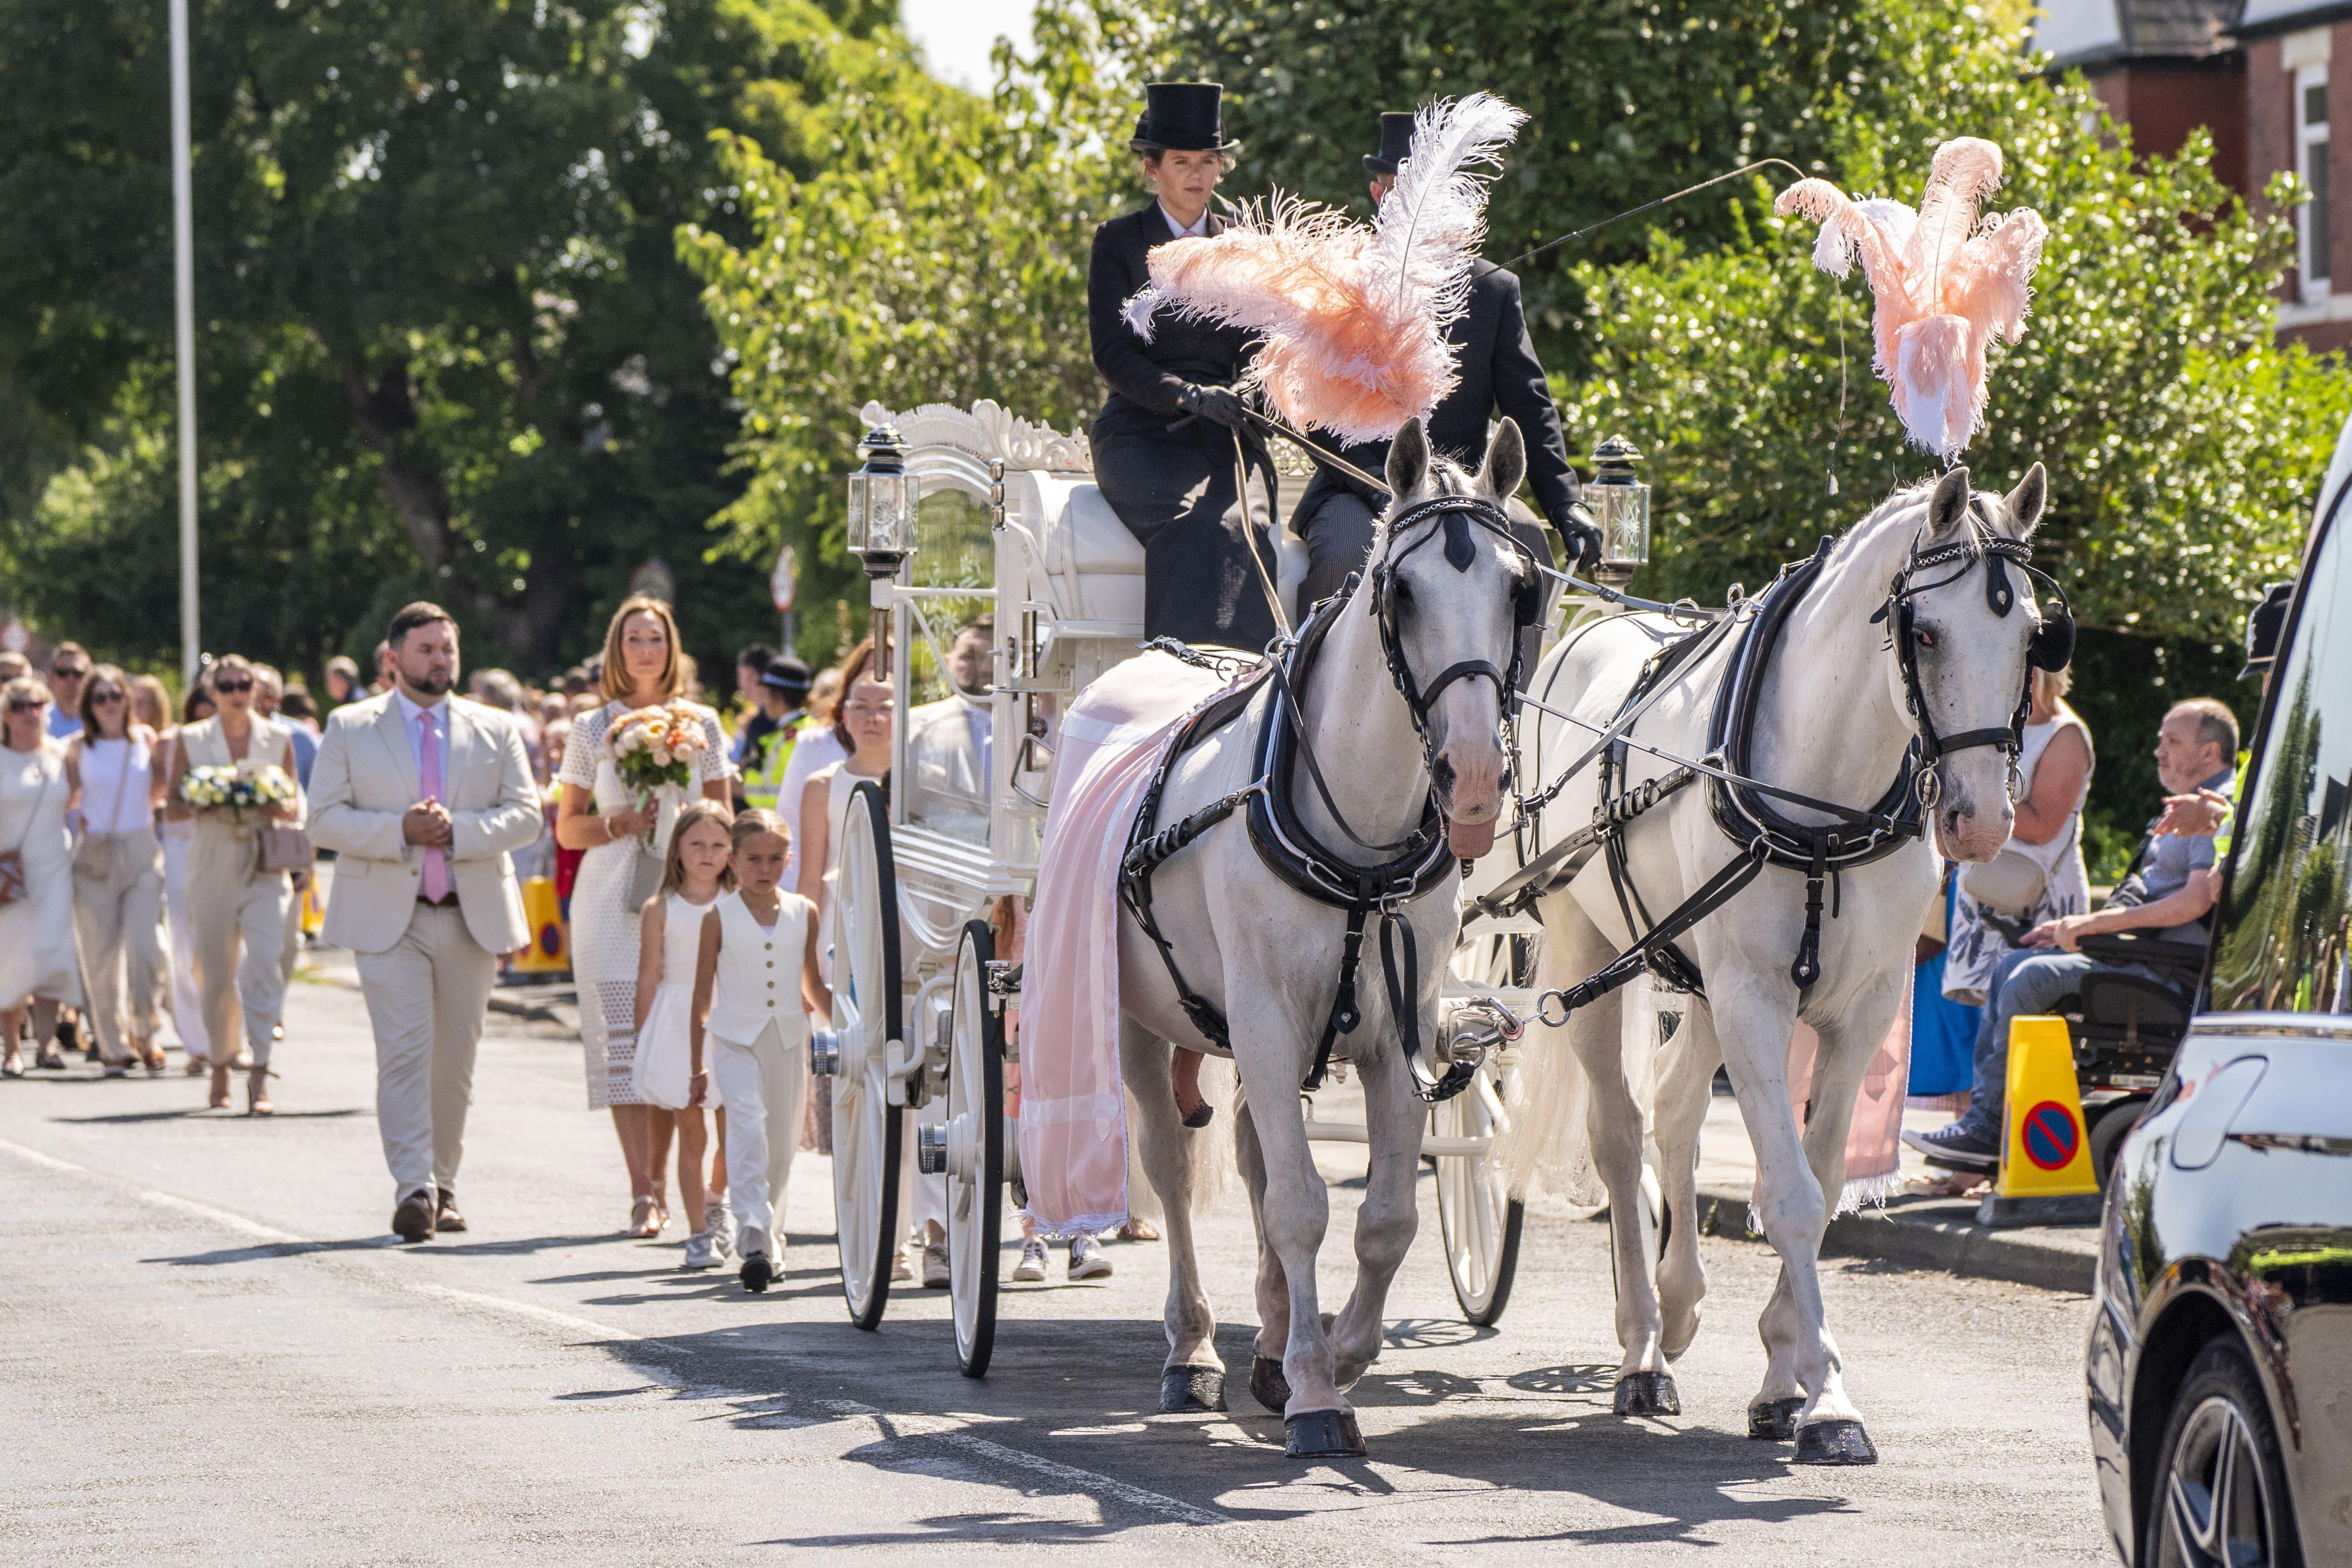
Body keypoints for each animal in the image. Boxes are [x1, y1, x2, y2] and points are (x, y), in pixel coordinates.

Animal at [1115, 416, 1534, 1457]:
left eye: (1520, 588)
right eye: (1402, 591)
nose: (1474, 775)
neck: (1360, 839)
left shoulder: (1397, 1032)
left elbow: (1383, 1216)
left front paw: (1338, 1353)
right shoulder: (1266, 1019)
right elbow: (1301, 1206)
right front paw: (1312, 1393)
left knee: (1257, 1160)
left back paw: (1266, 1339)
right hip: (1143, 1022)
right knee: (1170, 1169)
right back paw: (1193, 1350)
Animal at [1505, 460, 2042, 1467]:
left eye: (2034, 634)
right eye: (1924, 631)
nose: (1982, 820)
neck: (1826, 800)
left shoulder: (1858, 1007)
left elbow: (1823, 1185)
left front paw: (1785, 1379)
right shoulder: (1754, 1001)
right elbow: (1788, 1194)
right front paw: (1830, 1399)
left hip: (1693, 970)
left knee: (1677, 1107)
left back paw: (1680, 1304)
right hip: (1589, 948)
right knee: (1621, 1131)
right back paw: (1644, 1346)